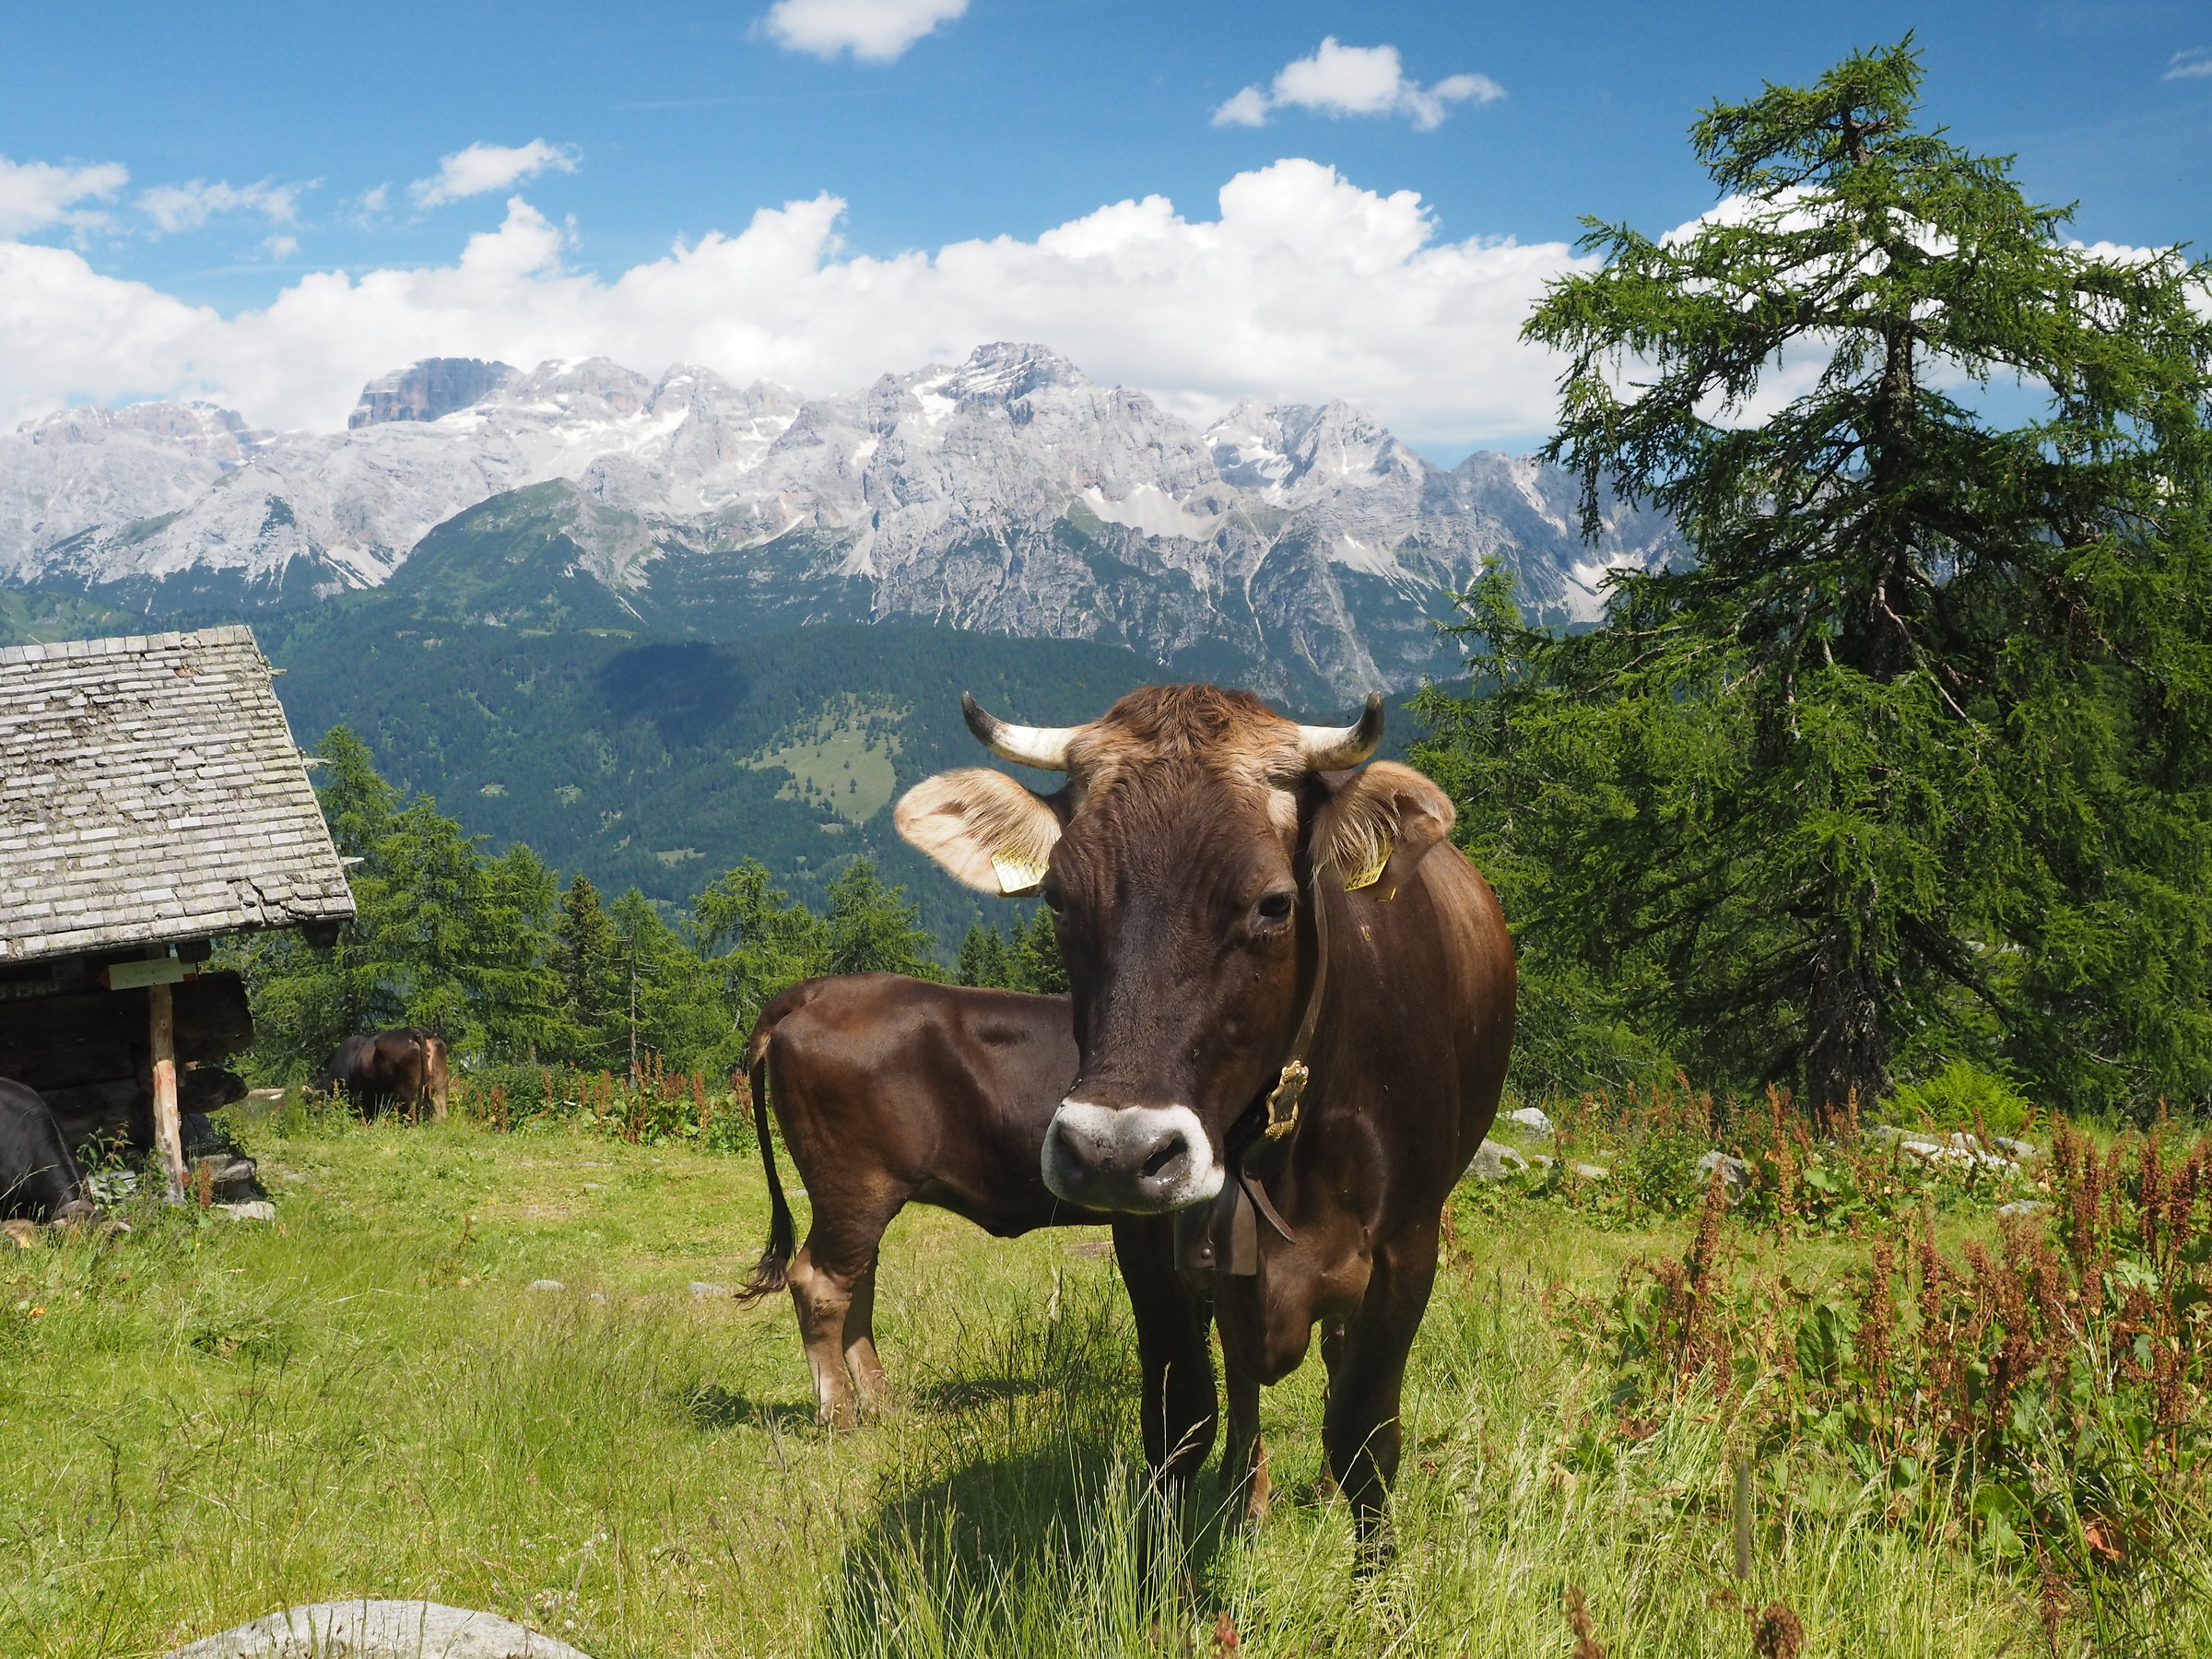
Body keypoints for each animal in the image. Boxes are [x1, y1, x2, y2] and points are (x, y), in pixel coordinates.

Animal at [315, 1028, 450, 1121]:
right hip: (439, 1087)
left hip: (408, 1092)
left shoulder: (359, 1095)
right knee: (441, 1110)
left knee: (412, 1113)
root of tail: (414, 1031)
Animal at [734, 972, 1216, 1481]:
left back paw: (883, 1405)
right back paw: (839, 1414)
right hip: (855, 1187)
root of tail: (820, 989)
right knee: (820, 1285)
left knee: (856, 1288)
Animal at [894, 684, 1516, 1555]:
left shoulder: (1407, 1249)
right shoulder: (1151, 1248)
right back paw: (1247, 1494)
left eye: (1275, 903)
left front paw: (1378, 1580)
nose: (1114, 1153)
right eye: (1057, 898)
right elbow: (1180, 1426)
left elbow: (1365, 1439)